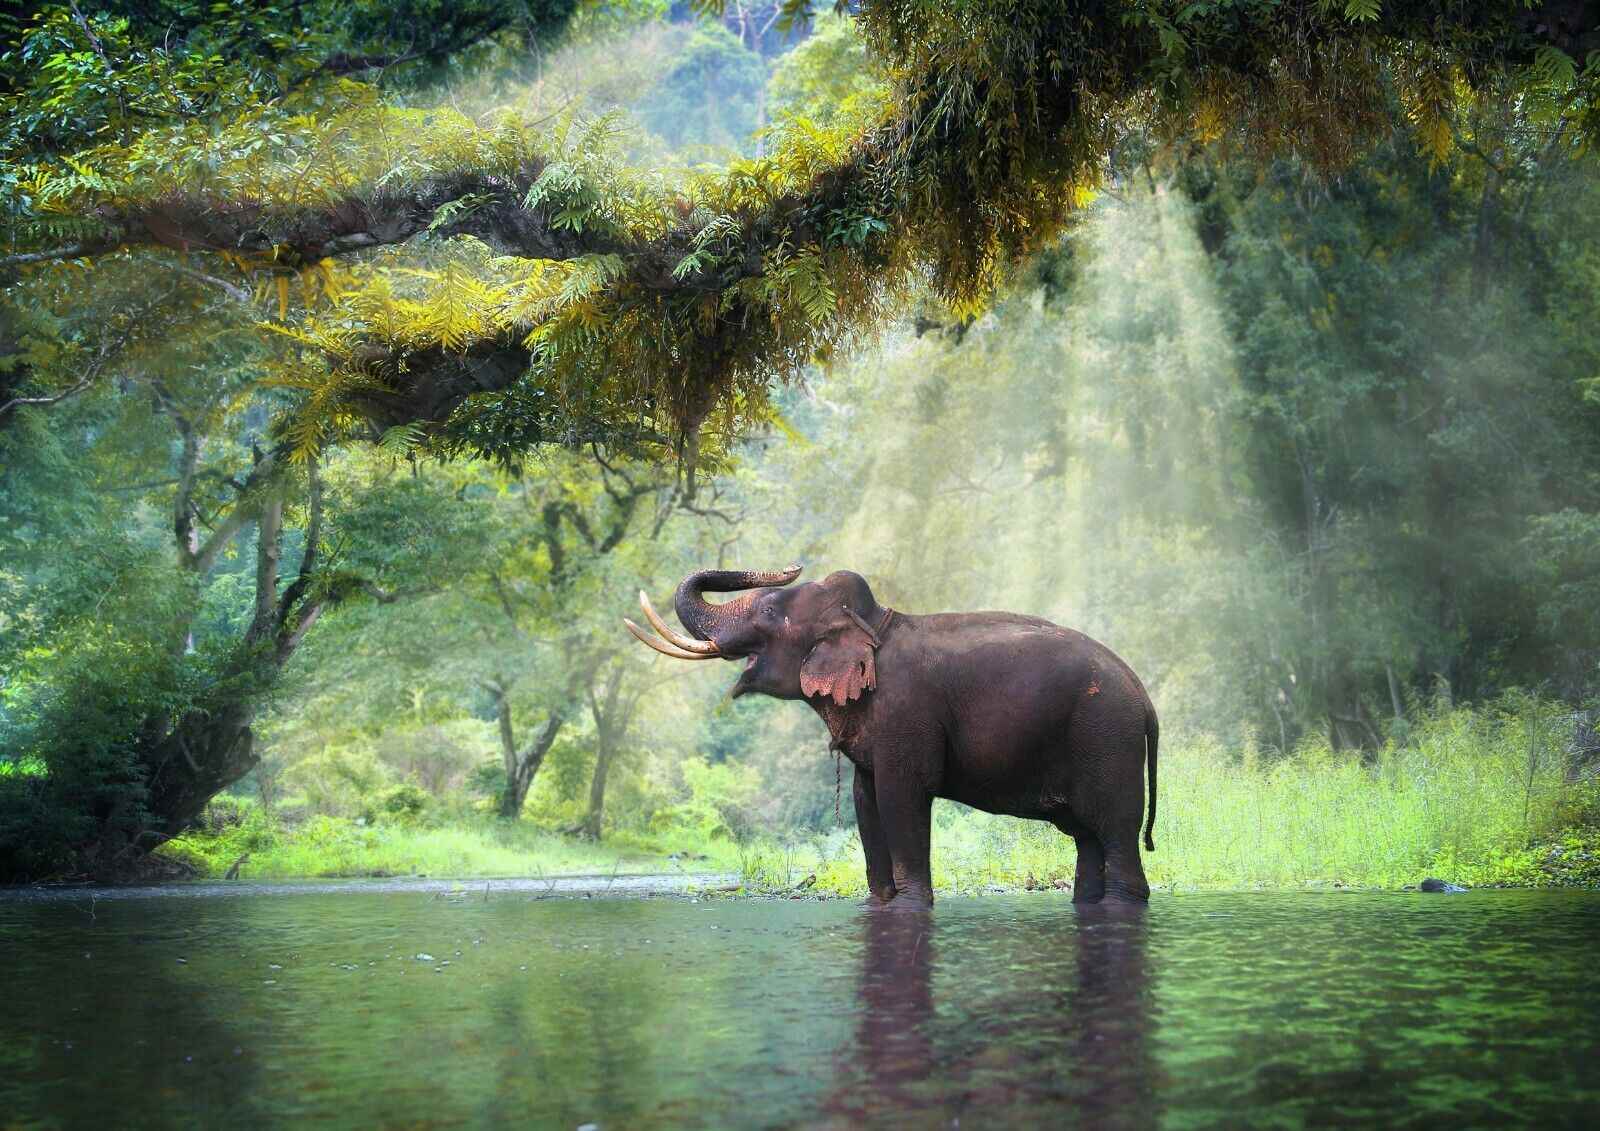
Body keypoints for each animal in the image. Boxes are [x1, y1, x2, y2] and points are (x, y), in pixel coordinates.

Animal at [623, 564, 1158, 906]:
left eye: (772, 613)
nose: (790, 566)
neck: (875, 622)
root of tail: (1146, 700)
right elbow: (867, 801)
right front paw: (880, 902)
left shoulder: (907, 714)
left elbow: (903, 796)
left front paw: (910, 905)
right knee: (1088, 839)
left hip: (1107, 739)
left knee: (1115, 832)